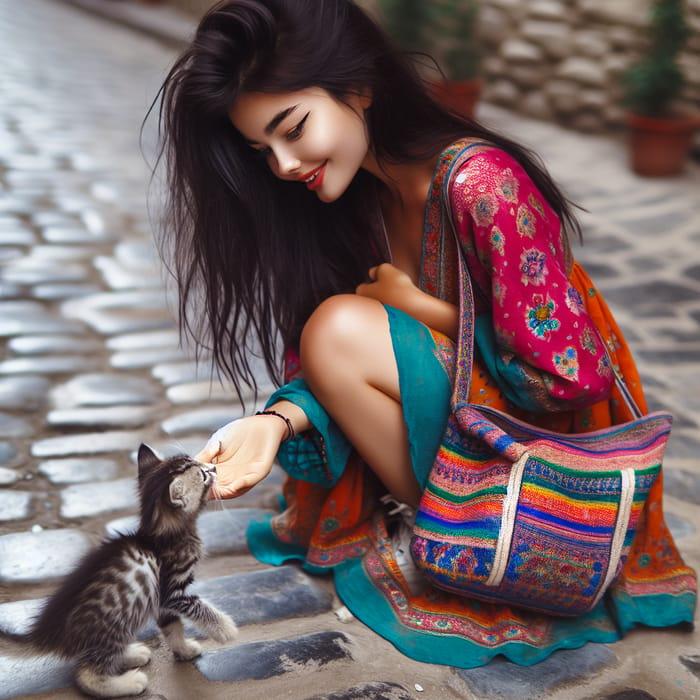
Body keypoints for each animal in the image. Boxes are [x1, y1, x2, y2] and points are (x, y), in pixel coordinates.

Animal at [23, 446, 238, 696]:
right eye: (203, 475)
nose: (213, 467)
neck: (159, 534)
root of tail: (54, 630)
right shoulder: (174, 590)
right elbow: (201, 608)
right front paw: (225, 629)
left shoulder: (161, 601)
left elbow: (172, 627)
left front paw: (183, 650)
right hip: (114, 624)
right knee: (86, 674)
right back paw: (126, 683)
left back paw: (131, 655)